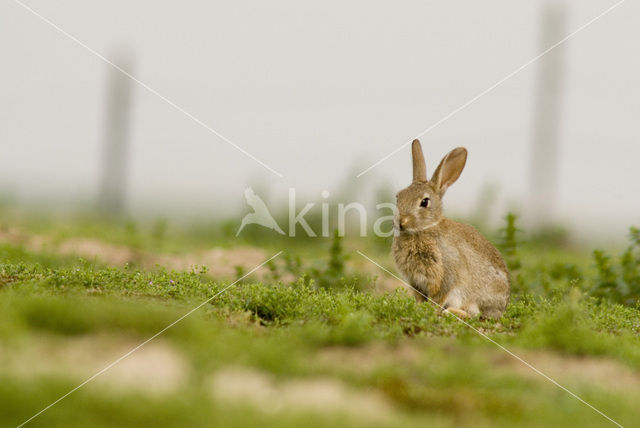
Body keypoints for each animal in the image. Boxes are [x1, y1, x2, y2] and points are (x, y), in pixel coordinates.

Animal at [390, 140, 510, 318]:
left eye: (424, 202)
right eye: (398, 197)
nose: (400, 222)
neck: (425, 229)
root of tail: (503, 306)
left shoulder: (446, 275)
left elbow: (438, 298)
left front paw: (429, 311)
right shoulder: (415, 282)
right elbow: (420, 298)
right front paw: (418, 309)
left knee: (475, 314)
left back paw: (450, 312)